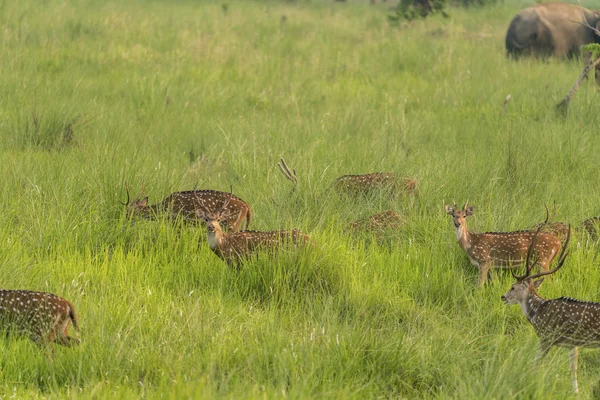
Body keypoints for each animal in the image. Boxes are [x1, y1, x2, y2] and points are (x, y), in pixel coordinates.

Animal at [500, 225, 600, 394]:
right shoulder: (572, 343)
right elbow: (573, 369)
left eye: (513, 287)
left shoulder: (547, 336)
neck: (536, 313)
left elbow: (535, 363)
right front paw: (576, 393)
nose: (503, 297)